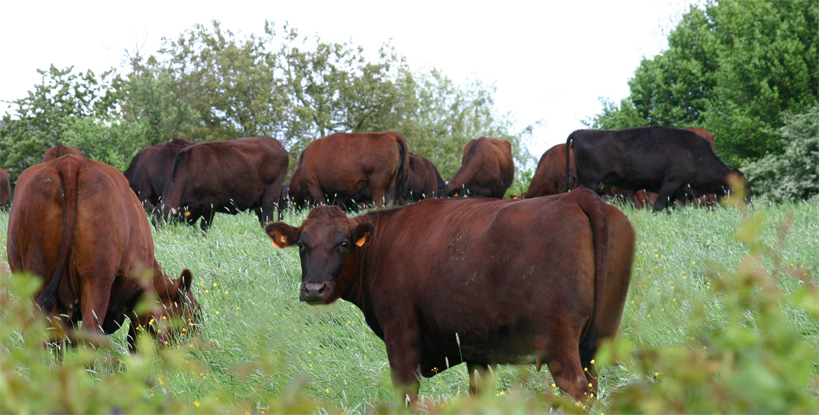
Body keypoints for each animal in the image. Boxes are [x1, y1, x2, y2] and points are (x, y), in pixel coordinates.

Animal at [6, 155, 199, 351]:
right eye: (193, 314)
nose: (196, 346)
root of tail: (69, 162)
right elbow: (136, 341)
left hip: (38, 278)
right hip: (97, 280)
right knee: (89, 332)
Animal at [160, 136, 289, 231]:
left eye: (167, 222)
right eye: (156, 224)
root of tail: (277, 144)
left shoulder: (210, 205)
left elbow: (204, 228)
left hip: (270, 196)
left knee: (268, 219)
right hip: (259, 203)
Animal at [265, 187, 635, 402]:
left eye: (343, 243)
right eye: (302, 244)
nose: (314, 288)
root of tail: (578, 196)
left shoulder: (401, 333)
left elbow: (407, 394)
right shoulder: (476, 348)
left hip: (561, 344)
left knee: (578, 391)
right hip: (598, 341)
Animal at [565, 126, 748, 212]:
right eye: (745, 188)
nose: (749, 205)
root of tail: (580, 132)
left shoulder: (675, 191)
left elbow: (668, 208)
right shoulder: (670, 183)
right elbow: (658, 206)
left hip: (582, 180)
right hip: (591, 181)